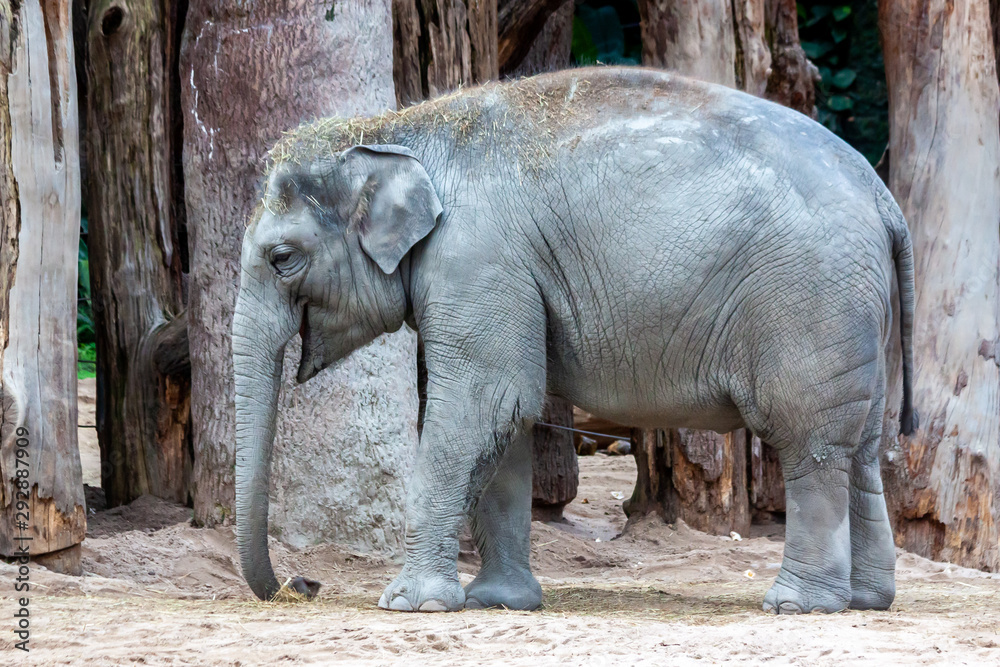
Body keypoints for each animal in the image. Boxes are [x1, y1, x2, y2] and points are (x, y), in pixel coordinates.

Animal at [232, 66, 917, 615]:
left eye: (283, 258)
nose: (300, 584)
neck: (398, 126)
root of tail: (883, 196)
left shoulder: (477, 258)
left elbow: (484, 403)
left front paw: (410, 605)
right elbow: (507, 419)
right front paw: (498, 603)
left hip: (812, 304)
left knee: (811, 442)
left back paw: (796, 606)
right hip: (858, 316)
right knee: (862, 447)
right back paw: (866, 601)